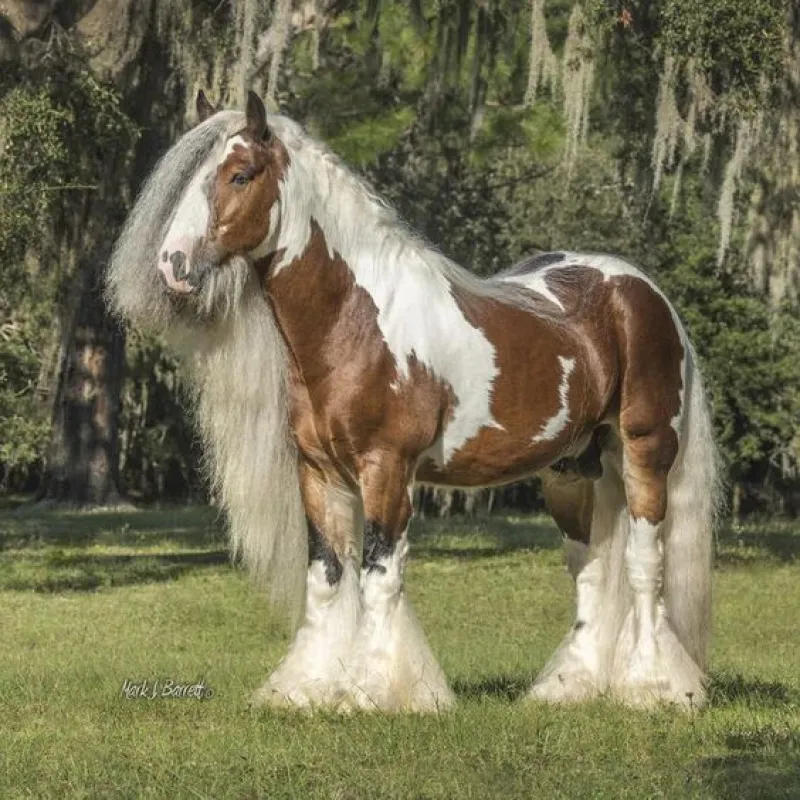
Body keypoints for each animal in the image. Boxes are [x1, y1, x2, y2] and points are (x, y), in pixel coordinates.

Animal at [107, 90, 718, 713]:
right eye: (191, 180)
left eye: (240, 174)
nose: (172, 265)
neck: (355, 323)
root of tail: (643, 291)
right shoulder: (317, 472)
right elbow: (327, 577)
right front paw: (305, 688)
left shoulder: (386, 468)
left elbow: (380, 577)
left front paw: (374, 691)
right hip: (571, 471)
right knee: (591, 568)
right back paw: (568, 689)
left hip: (645, 453)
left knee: (645, 565)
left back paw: (655, 689)